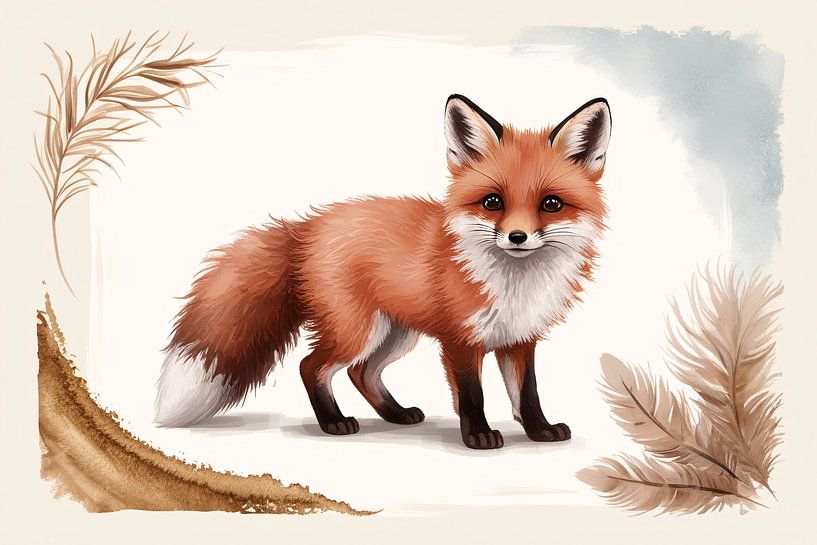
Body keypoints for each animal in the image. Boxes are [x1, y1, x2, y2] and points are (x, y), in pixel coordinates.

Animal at [155, 94, 611, 449]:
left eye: (551, 204)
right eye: (492, 202)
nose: (517, 237)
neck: (515, 284)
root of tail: (308, 226)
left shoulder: (519, 339)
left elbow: (527, 394)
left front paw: (539, 431)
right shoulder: (460, 340)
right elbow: (472, 395)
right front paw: (478, 436)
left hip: (395, 333)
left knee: (361, 372)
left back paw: (396, 414)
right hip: (359, 330)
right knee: (312, 367)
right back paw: (333, 422)